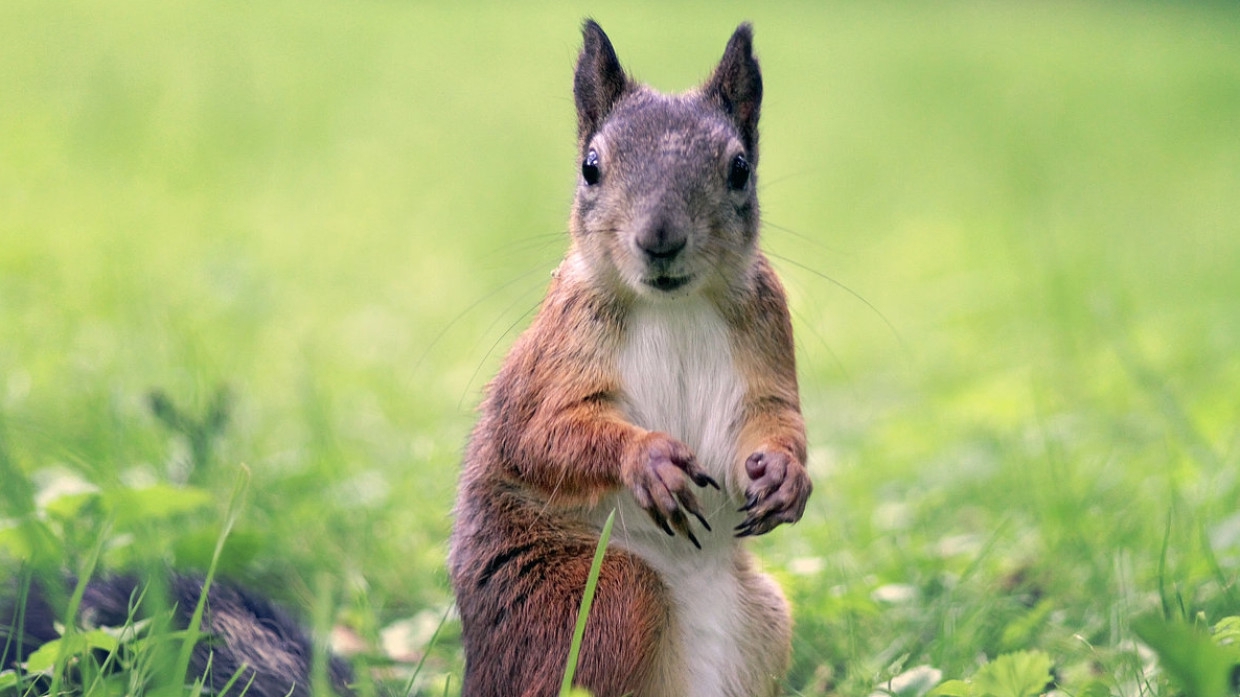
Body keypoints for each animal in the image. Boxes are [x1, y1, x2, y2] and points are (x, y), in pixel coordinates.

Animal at [448, 20, 813, 694]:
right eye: (590, 167)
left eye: (740, 169)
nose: (660, 238)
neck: (674, 307)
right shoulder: (555, 356)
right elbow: (540, 435)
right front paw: (648, 458)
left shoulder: (765, 338)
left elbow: (771, 417)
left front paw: (785, 474)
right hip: (599, 598)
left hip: (767, 621)